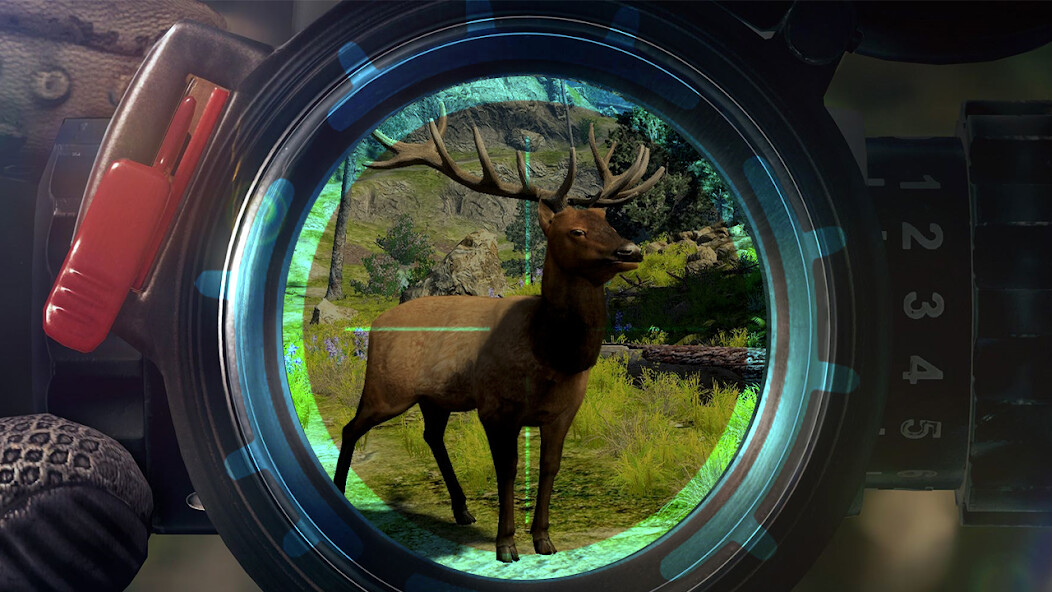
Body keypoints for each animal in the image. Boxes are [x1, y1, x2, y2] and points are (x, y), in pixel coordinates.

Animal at [332, 104, 664, 563]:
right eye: (575, 231)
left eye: (608, 222)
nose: (631, 251)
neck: (551, 356)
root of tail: (377, 323)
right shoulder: (495, 407)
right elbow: (506, 470)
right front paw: (506, 544)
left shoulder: (564, 411)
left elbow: (549, 466)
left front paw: (543, 538)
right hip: (386, 387)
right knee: (351, 427)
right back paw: (341, 492)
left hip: (434, 398)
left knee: (431, 435)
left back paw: (462, 509)